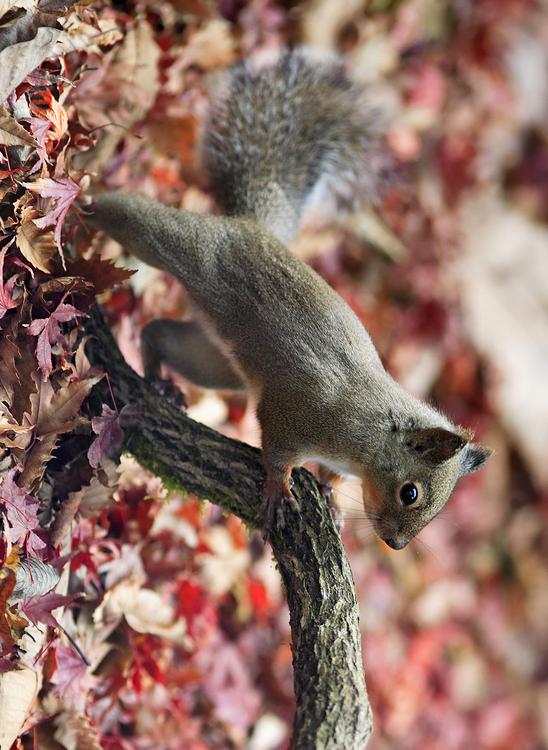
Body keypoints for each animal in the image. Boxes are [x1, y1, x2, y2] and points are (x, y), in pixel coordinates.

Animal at [86, 50, 492, 548]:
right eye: (410, 492)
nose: (396, 545)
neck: (368, 432)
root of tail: (250, 224)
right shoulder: (295, 413)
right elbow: (278, 453)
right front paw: (280, 490)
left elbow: (331, 477)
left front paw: (332, 498)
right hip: (184, 247)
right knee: (128, 216)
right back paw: (77, 202)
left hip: (217, 363)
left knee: (159, 333)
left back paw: (157, 378)